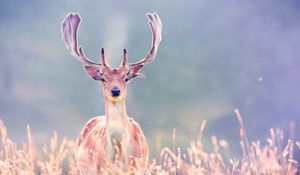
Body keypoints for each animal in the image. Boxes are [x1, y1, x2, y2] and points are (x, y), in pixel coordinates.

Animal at [61, 11, 162, 174]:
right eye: (103, 78)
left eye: (126, 78)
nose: (115, 90)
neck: (120, 155)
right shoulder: (102, 168)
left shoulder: (139, 167)